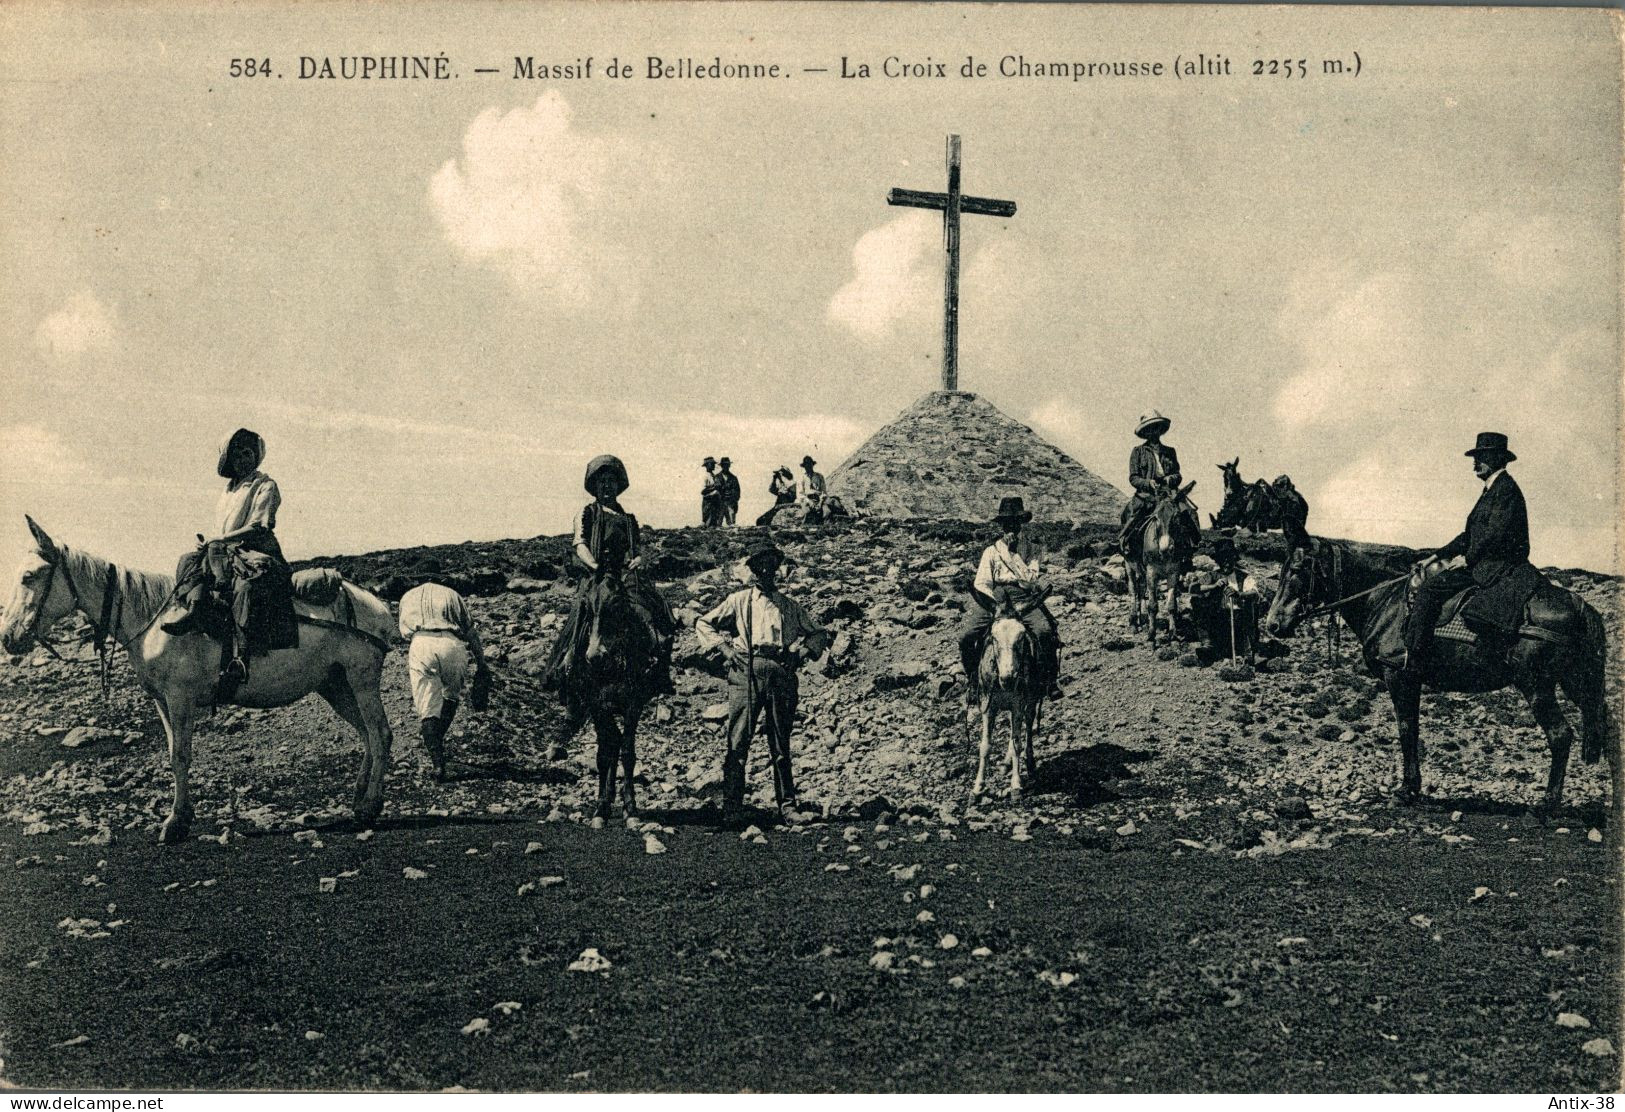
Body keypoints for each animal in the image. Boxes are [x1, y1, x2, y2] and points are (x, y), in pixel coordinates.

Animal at [2, 520, 396, 845]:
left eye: (29, 576)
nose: (9, 638)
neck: (155, 620)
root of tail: (376, 605)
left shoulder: (180, 698)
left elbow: (180, 755)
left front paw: (175, 823)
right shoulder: (161, 701)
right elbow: (172, 752)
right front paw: (181, 816)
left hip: (361, 680)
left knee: (380, 733)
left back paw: (370, 806)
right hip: (335, 686)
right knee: (366, 734)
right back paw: (359, 798)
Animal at [968, 595, 1046, 793]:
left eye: (1022, 637)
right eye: (993, 638)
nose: (1008, 678)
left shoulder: (1018, 704)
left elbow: (1017, 742)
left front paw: (1016, 785)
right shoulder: (988, 707)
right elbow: (985, 746)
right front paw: (978, 786)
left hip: (1031, 700)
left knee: (1027, 725)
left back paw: (1029, 762)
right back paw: (1005, 764)